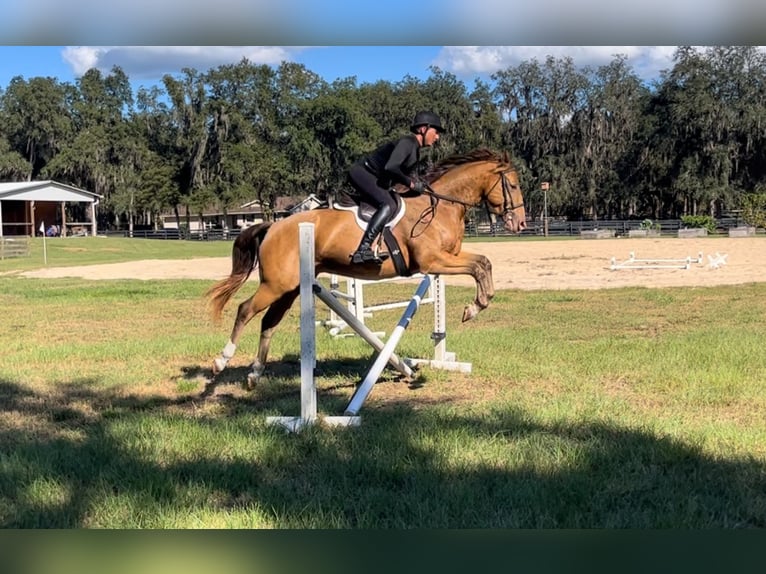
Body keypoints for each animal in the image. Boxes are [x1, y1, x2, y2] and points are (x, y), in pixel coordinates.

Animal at [204, 146, 528, 390]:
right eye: (512, 185)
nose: (520, 224)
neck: (440, 207)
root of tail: (273, 225)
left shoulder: (449, 256)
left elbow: (483, 263)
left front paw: (476, 306)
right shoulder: (433, 261)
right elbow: (479, 266)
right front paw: (474, 307)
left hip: (290, 288)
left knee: (268, 322)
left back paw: (254, 374)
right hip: (276, 285)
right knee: (245, 309)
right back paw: (222, 361)